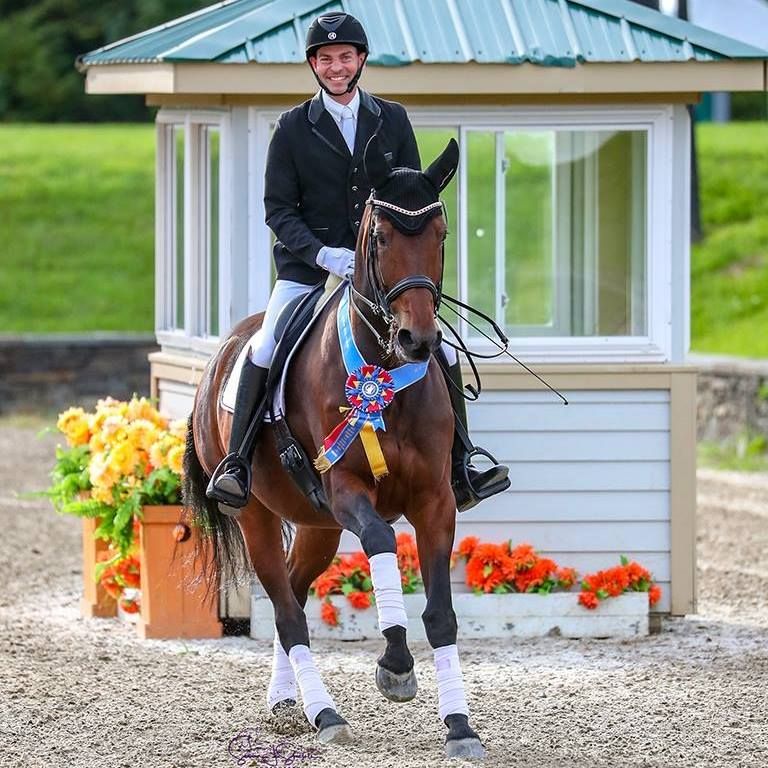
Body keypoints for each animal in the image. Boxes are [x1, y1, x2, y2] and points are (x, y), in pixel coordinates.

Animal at [183, 135, 486, 760]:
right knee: (288, 613)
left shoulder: (436, 501)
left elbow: (442, 615)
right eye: (381, 236)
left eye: (441, 234)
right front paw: (396, 666)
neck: (384, 374)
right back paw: (324, 713)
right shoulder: (346, 488)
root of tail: (221, 355)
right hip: (256, 515)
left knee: (293, 598)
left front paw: (460, 726)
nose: (418, 339)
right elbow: (381, 542)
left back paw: (286, 705)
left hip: (317, 527)